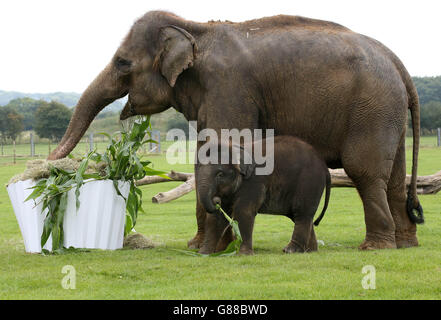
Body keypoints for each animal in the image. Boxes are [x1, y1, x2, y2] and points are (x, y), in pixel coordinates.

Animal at [197, 135, 330, 255]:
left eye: (220, 174)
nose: (216, 200)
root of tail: (324, 165)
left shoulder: (254, 181)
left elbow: (243, 211)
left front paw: (244, 254)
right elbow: (217, 217)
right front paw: (204, 253)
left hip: (309, 181)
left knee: (301, 213)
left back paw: (290, 250)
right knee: (300, 216)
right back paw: (310, 251)